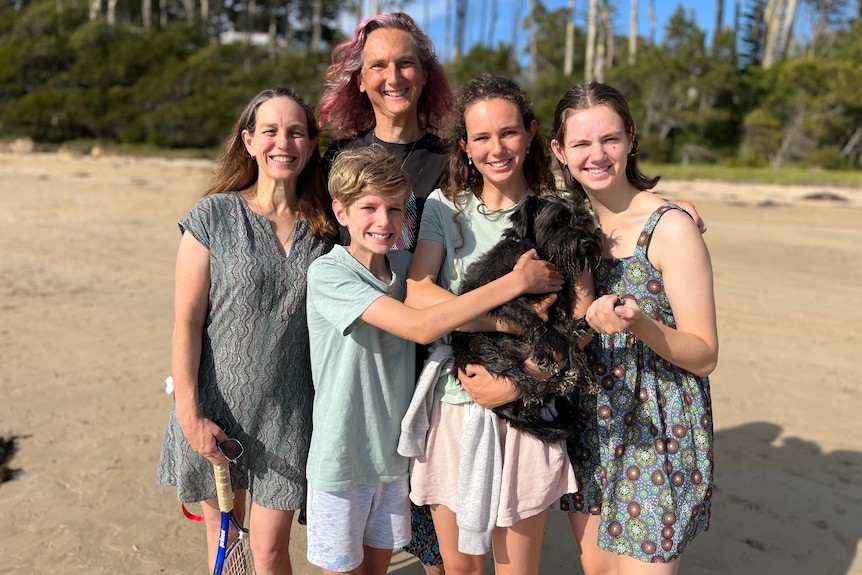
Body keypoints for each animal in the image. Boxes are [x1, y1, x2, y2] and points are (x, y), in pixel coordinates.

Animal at [456, 192, 604, 440]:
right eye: (558, 220)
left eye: (583, 219)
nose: (587, 241)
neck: (541, 255)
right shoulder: (502, 296)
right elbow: (533, 320)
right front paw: (543, 352)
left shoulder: (556, 308)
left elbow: (568, 340)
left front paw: (585, 375)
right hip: (485, 349)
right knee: (525, 384)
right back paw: (555, 382)